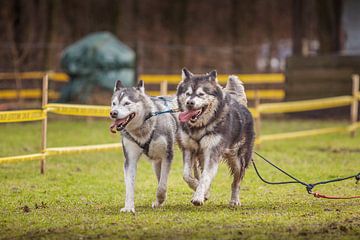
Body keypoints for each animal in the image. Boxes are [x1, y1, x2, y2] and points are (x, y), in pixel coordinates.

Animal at [109, 80, 178, 214]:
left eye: (127, 103)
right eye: (114, 103)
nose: (113, 113)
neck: (142, 129)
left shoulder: (167, 155)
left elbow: (162, 186)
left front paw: (160, 199)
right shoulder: (130, 160)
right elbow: (129, 186)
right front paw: (129, 207)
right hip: (156, 162)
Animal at [176, 68, 255, 206]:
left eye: (201, 94)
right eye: (187, 93)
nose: (190, 103)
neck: (200, 126)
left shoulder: (212, 151)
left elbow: (205, 177)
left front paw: (198, 197)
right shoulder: (188, 149)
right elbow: (187, 175)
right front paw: (199, 189)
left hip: (238, 159)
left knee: (236, 182)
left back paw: (235, 200)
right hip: (202, 157)